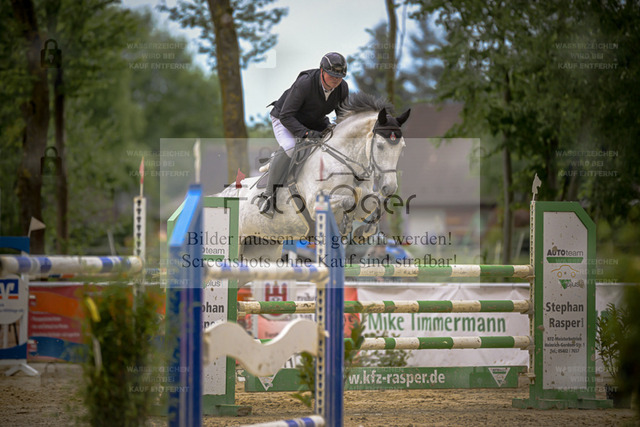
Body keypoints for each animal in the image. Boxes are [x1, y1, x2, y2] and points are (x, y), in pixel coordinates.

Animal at [217, 92, 411, 264]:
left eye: (402, 147)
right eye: (380, 146)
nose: (389, 188)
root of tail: (222, 194)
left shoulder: (364, 204)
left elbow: (376, 202)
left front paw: (363, 231)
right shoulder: (314, 203)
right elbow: (349, 200)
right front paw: (347, 226)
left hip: (263, 247)